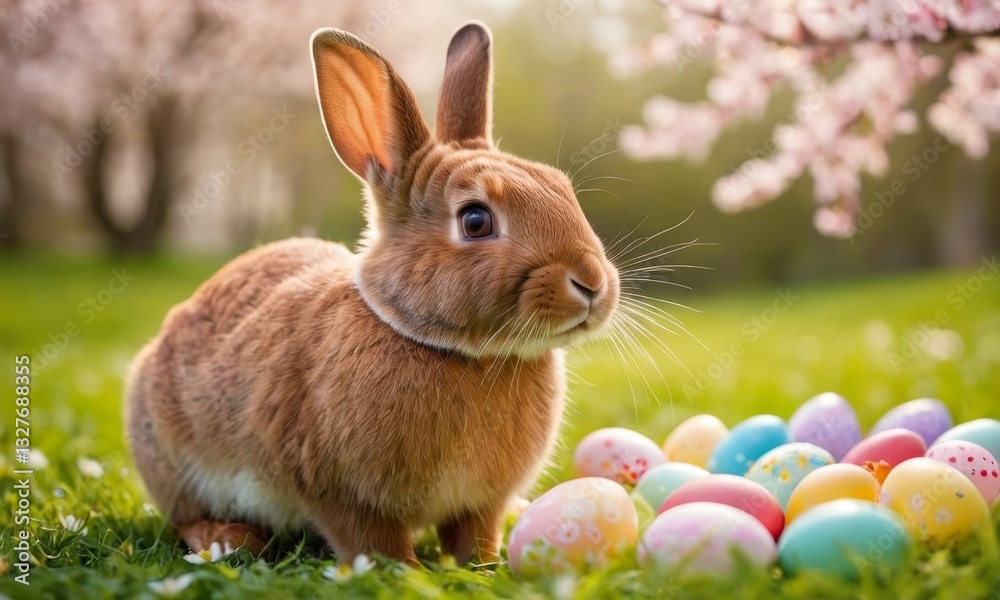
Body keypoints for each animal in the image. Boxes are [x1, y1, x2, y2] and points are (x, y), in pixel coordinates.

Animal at [124, 20, 620, 567]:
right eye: (475, 220)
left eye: (562, 188)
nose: (592, 283)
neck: (458, 351)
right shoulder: (341, 494)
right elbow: (371, 540)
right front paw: (405, 571)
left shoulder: (479, 504)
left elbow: (475, 533)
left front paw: (484, 566)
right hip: (168, 456)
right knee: (184, 517)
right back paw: (228, 538)